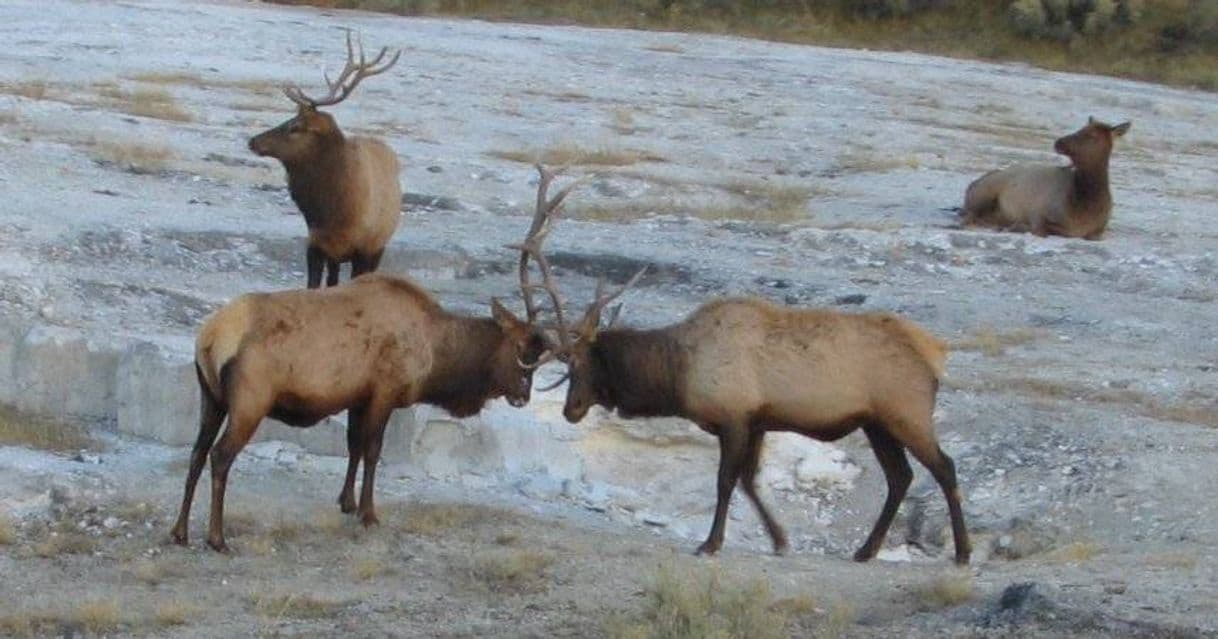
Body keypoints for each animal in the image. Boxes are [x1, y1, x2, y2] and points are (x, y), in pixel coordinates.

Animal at [170, 268, 552, 547]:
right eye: (522, 354)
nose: (523, 398)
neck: (435, 356)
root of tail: (209, 338)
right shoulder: (385, 391)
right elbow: (372, 450)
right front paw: (369, 514)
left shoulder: (357, 396)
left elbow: (352, 445)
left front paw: (347, 502)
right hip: (250, 401)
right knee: (220, 455)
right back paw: (216, 538)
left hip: (211, 397)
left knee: (197, 451)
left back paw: (180, 532)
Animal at [516, 169, 969, 562]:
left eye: (580, 364)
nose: (570, 409)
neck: (677, 373)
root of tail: (935, 354)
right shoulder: (757, 421)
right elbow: (751, 482)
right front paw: (780, 539)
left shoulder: (734, 416)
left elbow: (725, 482)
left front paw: (710, 542)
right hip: (876, 423)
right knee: (900, 478)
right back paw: (865, 549)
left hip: (906, 411)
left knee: (944, 467)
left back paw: (962, 552)